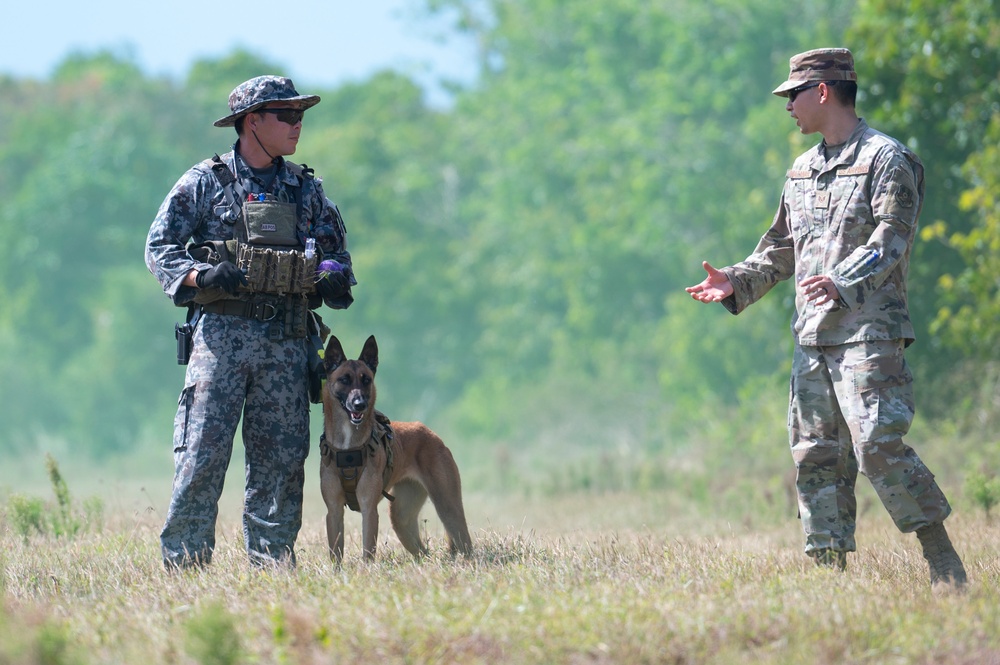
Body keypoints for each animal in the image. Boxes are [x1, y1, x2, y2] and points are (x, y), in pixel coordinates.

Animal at [320, 334, 476, 564]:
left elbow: (368, 552)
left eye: (366, 379)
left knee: (465, 543)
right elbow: (335, 554)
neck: (348, 449)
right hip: (402, 519)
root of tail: (431, 434)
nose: (360, 404)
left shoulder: (369, 508)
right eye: (344, 380)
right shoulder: (333, 510)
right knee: (423, 553)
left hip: (448, 507)